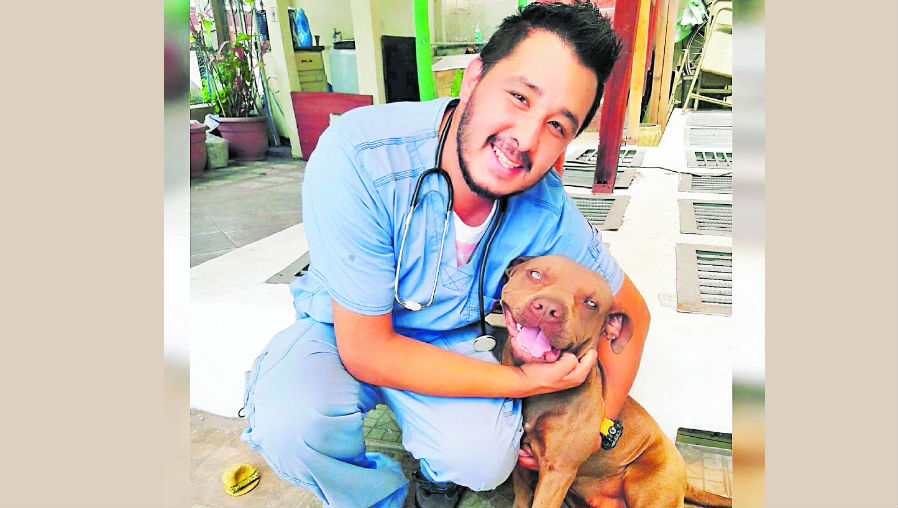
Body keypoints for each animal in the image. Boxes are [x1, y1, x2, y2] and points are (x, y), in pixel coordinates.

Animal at [496, 256, 728, 508]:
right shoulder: (521, 464)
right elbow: (521, 496)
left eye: (591, 303)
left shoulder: (557, 471)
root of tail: (686, 482)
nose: (549, 308)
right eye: (535, 274)